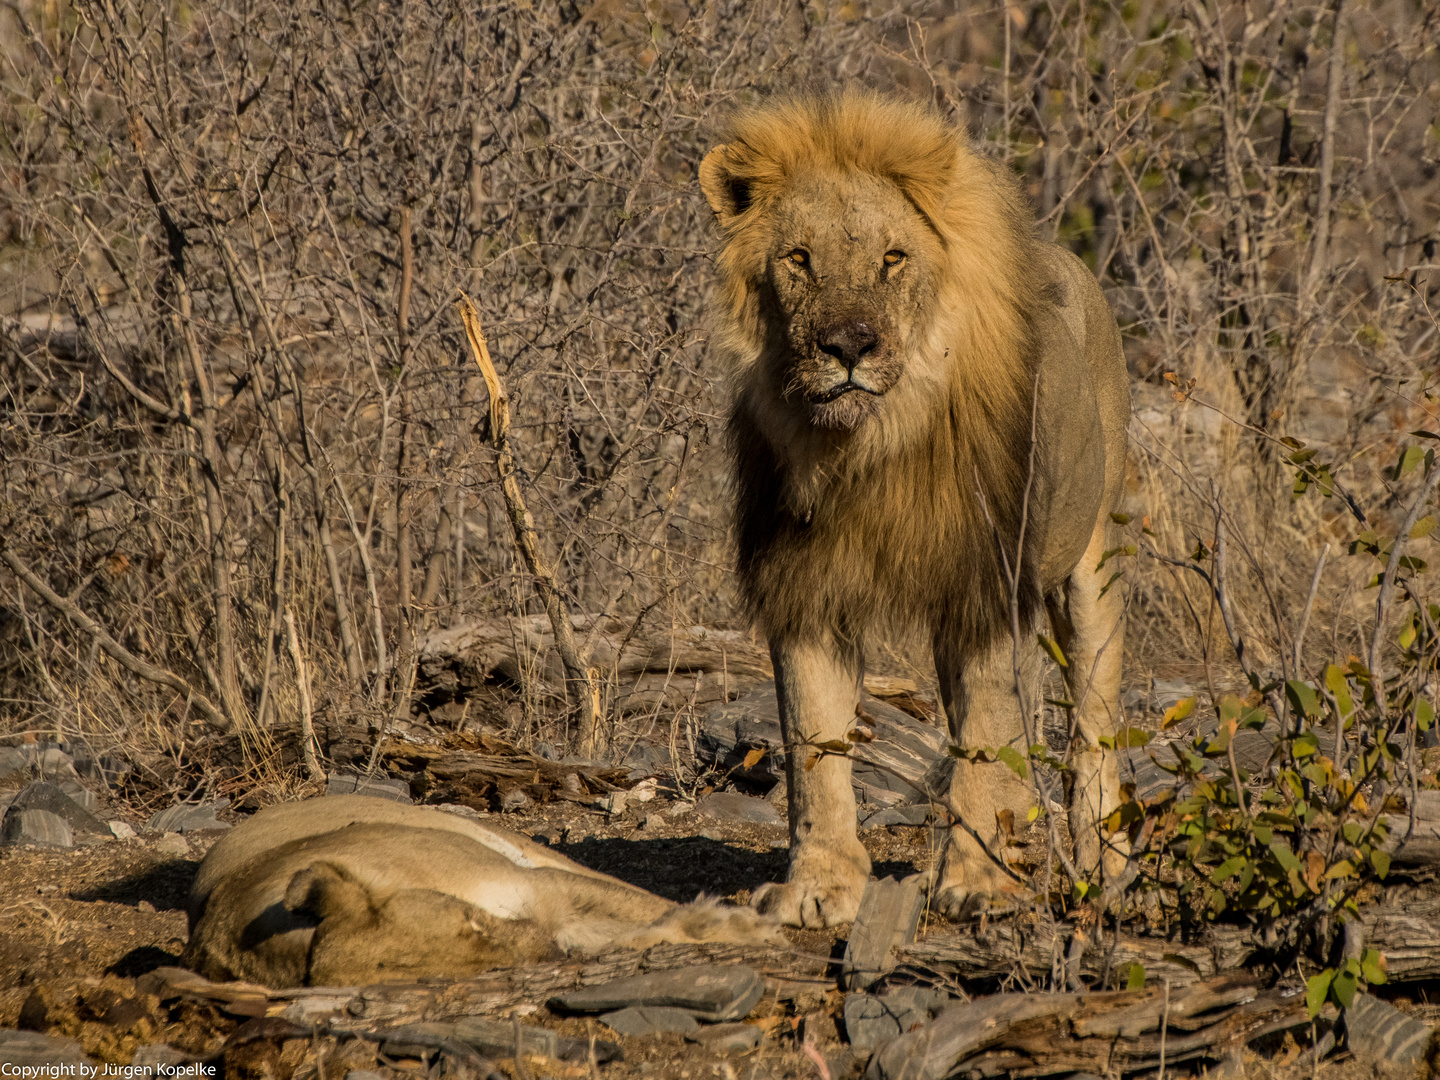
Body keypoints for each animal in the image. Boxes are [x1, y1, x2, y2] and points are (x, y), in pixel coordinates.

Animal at [187, 794, 789, 990]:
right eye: (483, 970)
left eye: (470, 922)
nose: (548, 952)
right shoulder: (545, 911)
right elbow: (637, 934)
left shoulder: (536, 884)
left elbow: (649, 908)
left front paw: (754, 925)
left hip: (524, 851)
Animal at [702, 92, 1128, 927]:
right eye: (798, 259)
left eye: (893, 259)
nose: (847, 347)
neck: (869, 451)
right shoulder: (807, 591)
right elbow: (813, 749)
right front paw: (819, 886)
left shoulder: (989, 591)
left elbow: (986, 743)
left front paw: (976, 885)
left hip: (1090, 567)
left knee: (1094, 723)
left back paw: (1107, 865)